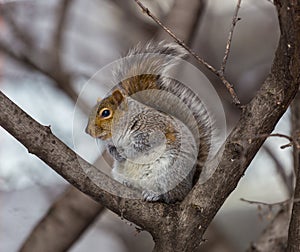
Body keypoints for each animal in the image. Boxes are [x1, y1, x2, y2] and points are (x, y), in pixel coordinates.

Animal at [85, 41, 211, 203]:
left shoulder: (155, 128)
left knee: (170, 196)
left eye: (105, 113)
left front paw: (125, 153)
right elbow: (113, 149)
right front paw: (116, 154)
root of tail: (188, 188)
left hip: (168, 175)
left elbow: (140, 147)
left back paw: (155, 195)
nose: (87, 131)